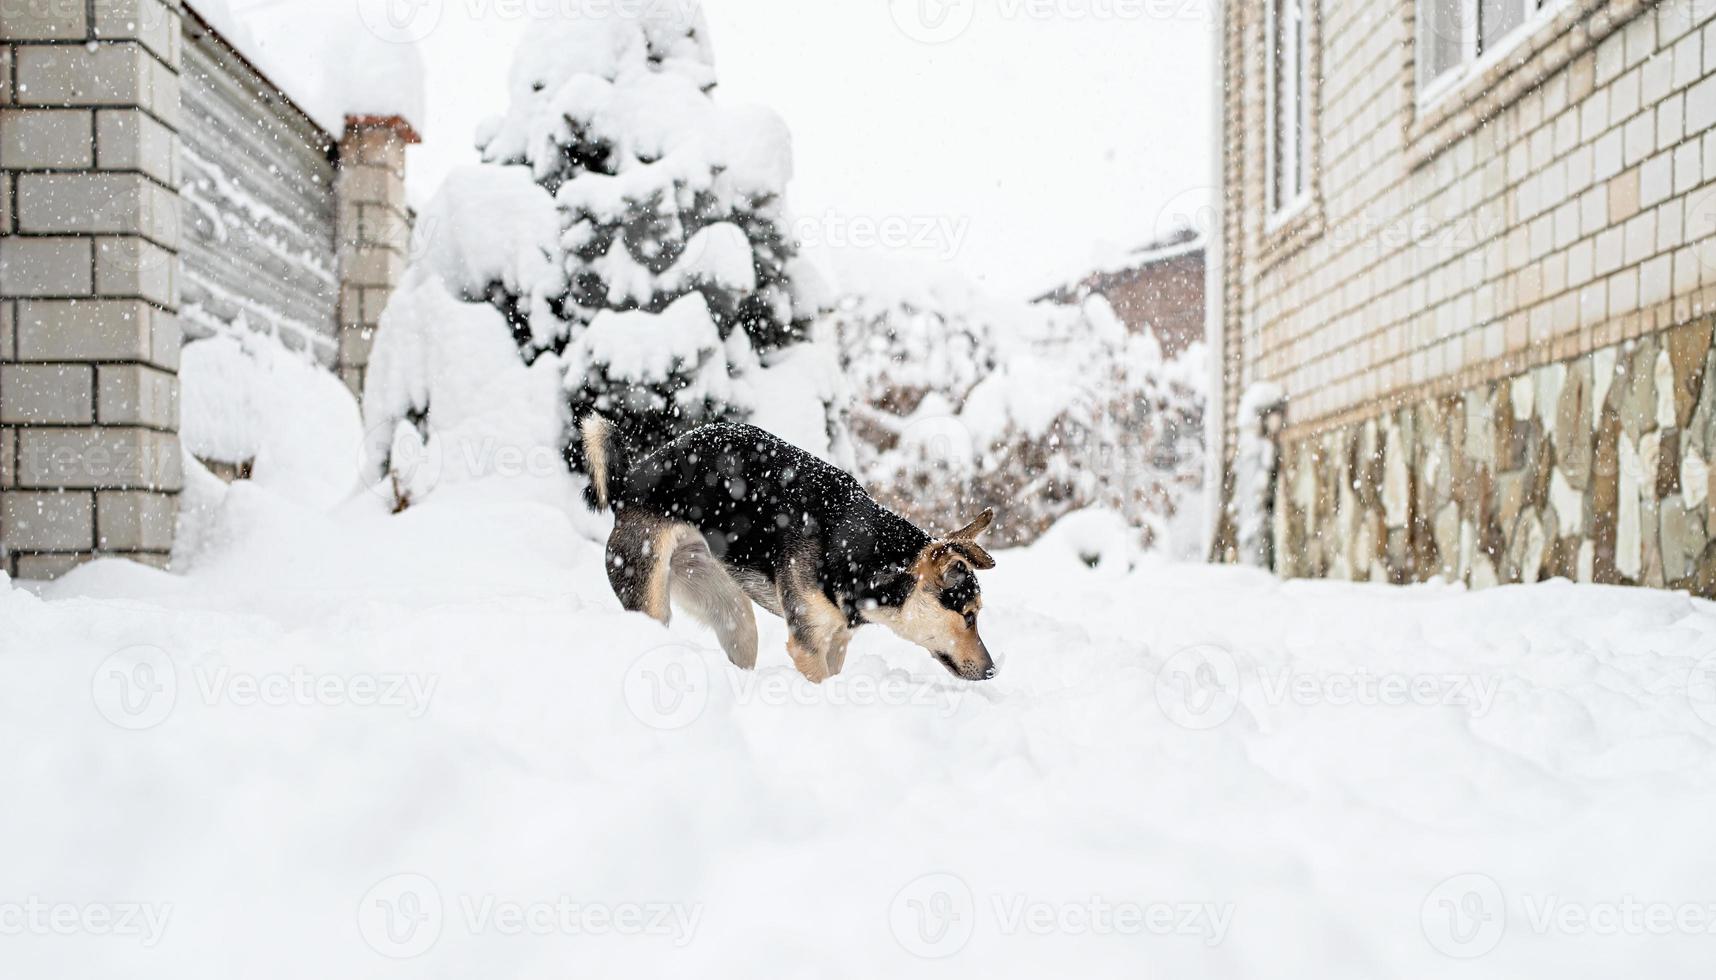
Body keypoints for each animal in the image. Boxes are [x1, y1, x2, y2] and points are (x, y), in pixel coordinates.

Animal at [583, 413, 1002, 683]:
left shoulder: (837, 640)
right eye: (969, 616)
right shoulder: (808, 646)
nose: (993, 670)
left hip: (732, 612)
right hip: (648, 594)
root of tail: (629, 484)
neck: (858, 553)